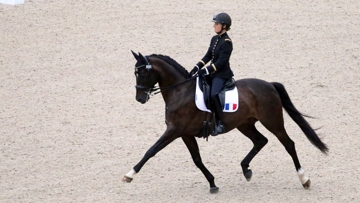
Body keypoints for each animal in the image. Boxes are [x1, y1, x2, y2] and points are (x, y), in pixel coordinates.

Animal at [124, 50, 330, 193]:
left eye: (142, 73)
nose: (139, 98)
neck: (180, 91)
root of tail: (270, 85)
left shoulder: (174, 131)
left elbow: (151, 151)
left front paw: (129, 175)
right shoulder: (185, 134)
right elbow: (197, 159)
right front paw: (212, 183)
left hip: (272, 121)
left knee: (288, 144)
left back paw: (304, 179)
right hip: (244, 124)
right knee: (260, 141)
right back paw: (246, 169)